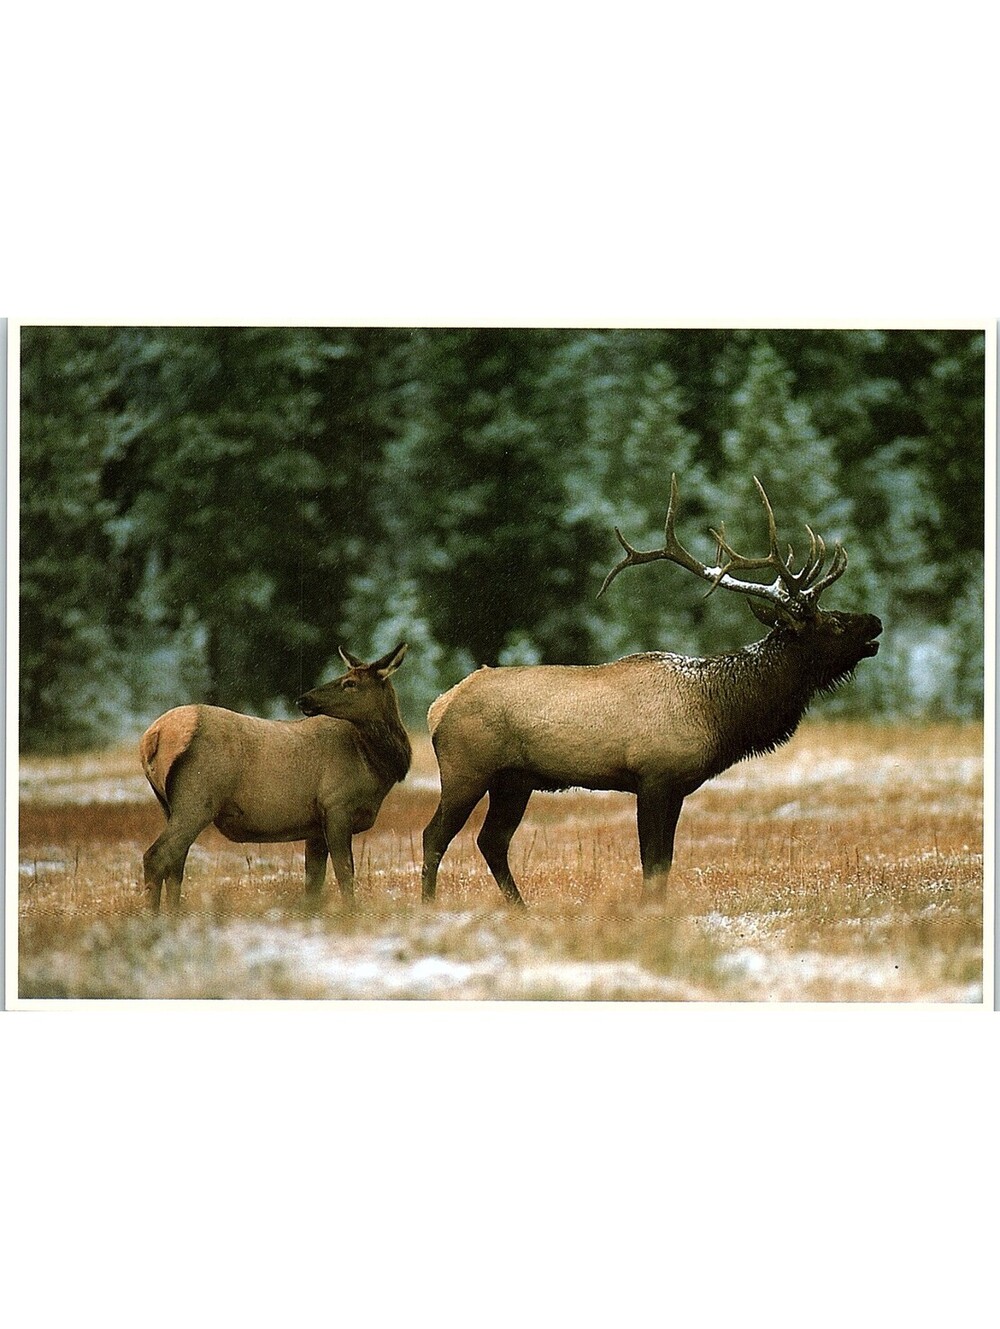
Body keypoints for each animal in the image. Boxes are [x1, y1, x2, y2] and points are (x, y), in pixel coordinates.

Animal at [139, 643, 410, 909]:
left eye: (350, 682)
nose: (303, 699)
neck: (374, 764)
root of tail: (152, 737)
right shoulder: (336, 804)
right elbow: (345, 873)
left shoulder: (315, 825)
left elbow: (314, 883)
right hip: (197, 800)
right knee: (157, 856)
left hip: (169, 805)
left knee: (175, 864)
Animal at [420, 476, 882, 906]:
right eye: (831, 622)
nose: (874, 621)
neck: (719, 713)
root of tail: (438, 706)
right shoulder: (654, 777)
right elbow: (653, 861)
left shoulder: (675, 787)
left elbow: (665, 862)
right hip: (466, 770)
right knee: (435, 836)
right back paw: (429, 905)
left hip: (514, 780)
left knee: (492, 841)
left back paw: (521, 909)